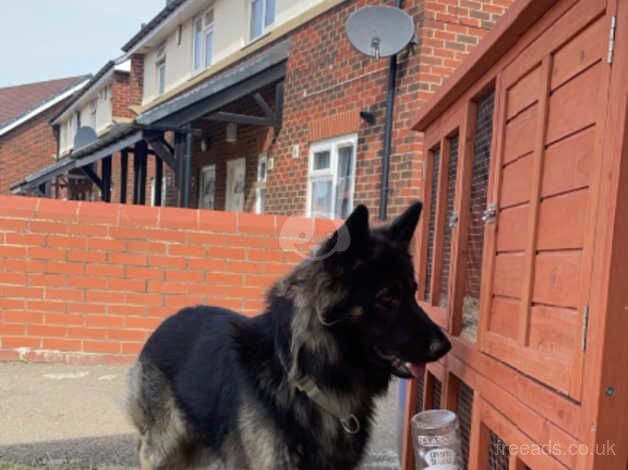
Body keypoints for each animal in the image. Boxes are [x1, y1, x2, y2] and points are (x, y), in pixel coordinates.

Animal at [126, 200, 452, 468]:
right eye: (387, 299)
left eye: (413, 293)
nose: (445, 346)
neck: (308, 377)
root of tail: (167, 320)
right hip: (164, 449)